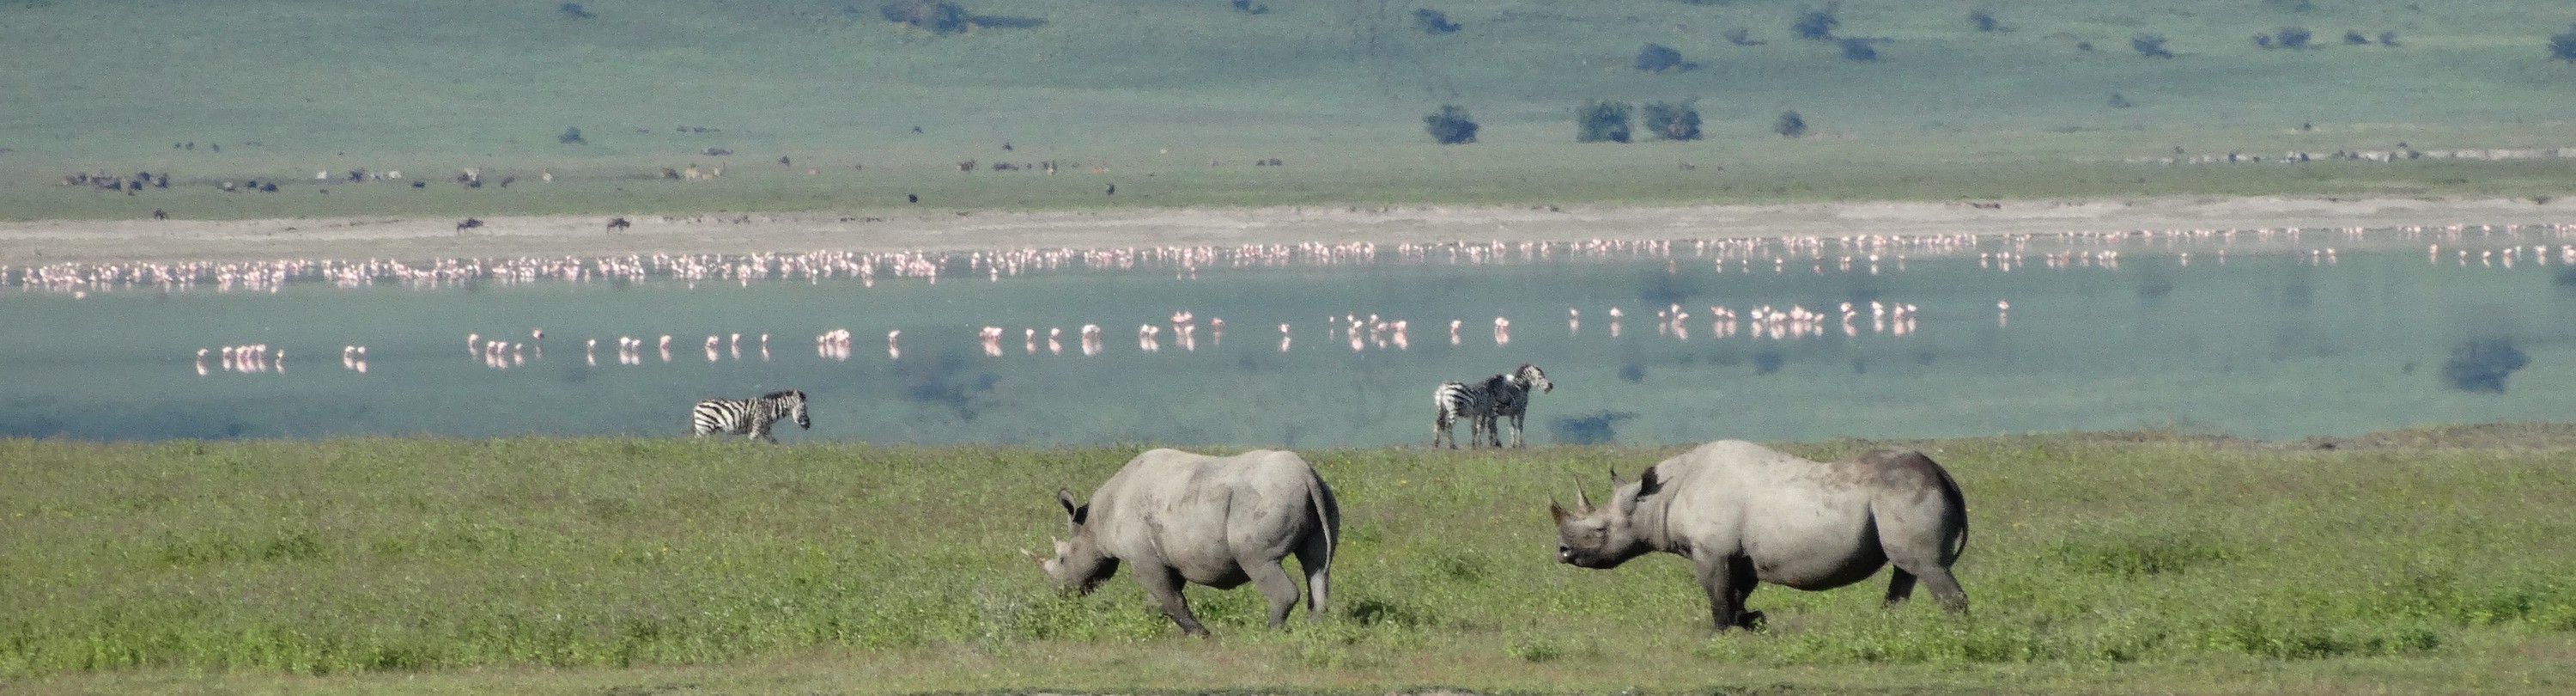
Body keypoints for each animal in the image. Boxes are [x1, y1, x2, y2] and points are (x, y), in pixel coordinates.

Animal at [690, 389, 809, 443]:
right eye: (804, 409)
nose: (809, 425)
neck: (769, 410)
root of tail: (697, 405)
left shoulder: (766, 431)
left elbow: (775, 443)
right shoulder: (756, 428)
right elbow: (750, 444)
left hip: (706, 429)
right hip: (704, 427)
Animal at [1030, 449, 1350, 639]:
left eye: (1062, 560)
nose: (1059, 593)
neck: (1095, 525)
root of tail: (1306, 476)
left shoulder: (1144, 559)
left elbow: (1170, 596)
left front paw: (1200, 634)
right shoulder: (1168, 554)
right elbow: (1164, 596)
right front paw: (1152, 625)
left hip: (1262, 501)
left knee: (1259, 561)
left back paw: (1270, 633)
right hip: (1322, 494)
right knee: (1318, 565)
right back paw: (1314, 628)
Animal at [1546, 441, 1968, 632]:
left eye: (1599, 531)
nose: (1563, 552)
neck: (1659, 498)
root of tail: (1944, 477)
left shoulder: (1711, 551)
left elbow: (1718, 594)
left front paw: (1722, 635)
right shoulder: (1740, 555)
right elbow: (1737, 593)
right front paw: (1753, 622)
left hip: (1905, 493)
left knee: (1927, 567)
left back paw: (1955, 635)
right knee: (1906, 569)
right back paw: (1888, 627)